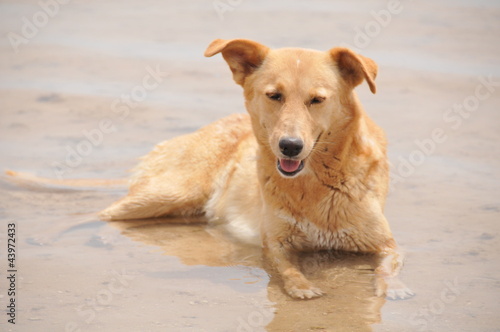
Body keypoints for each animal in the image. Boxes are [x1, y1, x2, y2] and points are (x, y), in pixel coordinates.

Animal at [99, 37, 412, 300]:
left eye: (317, 99)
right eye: (274, 95)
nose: (290, 146)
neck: (313, 185)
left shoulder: (385, 243)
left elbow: (389, 263)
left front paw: (394, 287)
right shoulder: (274, 243)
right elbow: (286, 267)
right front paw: (301, 286)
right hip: (171, 194)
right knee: (106, 213)